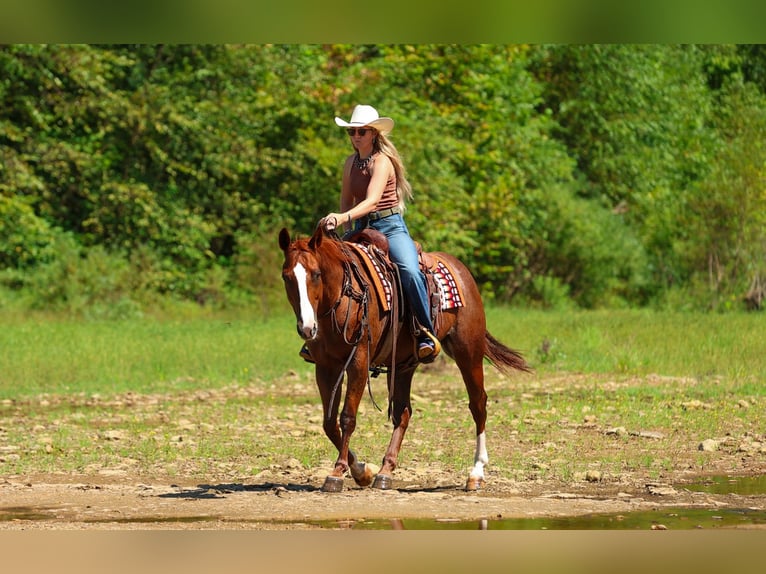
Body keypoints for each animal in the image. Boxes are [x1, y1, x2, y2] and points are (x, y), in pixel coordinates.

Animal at [278, 225, 530, 492]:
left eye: (316, 274)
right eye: (287, 277)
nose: (307, 328)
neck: (343, 298)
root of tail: (460, 270)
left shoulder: (358, 362)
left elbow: (347, 417)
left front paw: (337, 473)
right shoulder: (326, 367)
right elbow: (329, 422)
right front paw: (362, 472)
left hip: (468, 352)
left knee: (478, 404)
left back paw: (476, 473)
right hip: (403, 365)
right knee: (404, 412)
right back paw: (385, 471)